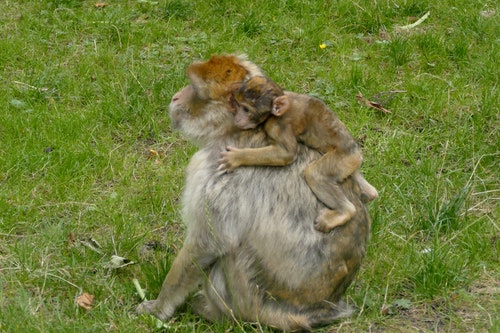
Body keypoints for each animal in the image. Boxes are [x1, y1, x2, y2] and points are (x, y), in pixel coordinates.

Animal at [219, 75, 378, 232]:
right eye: (238, 105)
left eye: (246, 109)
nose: (237, 118)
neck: (272, 114)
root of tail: (356, 153)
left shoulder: (278, 126)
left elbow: (287, 154)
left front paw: (237, 157)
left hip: (343, 159)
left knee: (315, 174)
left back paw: (344, 211)